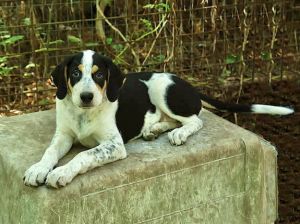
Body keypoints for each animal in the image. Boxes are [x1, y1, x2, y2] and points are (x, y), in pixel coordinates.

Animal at [24, 50, 296, 188]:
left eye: (100, 75)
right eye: (75, 73)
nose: (87, 96)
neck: (84, 113)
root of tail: (189, 85)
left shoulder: (114, 145)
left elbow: (84, 155)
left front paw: (61, 172)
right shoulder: (63, 135)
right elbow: (50, 152)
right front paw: (38, 169)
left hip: (161, 89)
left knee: (195, 121)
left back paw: (177, 133)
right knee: (175, 120)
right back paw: (153, 130)